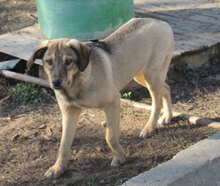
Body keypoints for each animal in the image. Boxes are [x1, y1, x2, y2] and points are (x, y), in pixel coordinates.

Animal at [27, 17, 174, 179]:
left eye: (68, 61)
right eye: (49, 61)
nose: (56, 83)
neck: (77, 83)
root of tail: (161, 22)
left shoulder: (113, 102)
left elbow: (110, 137)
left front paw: (120, 157)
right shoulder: (69, 113)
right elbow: (64, 144)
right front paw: (58, 168)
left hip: (151, 76)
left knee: (157, 102)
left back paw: (149, 128)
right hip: (140, 75)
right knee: (166, 88)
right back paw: (167, 116)